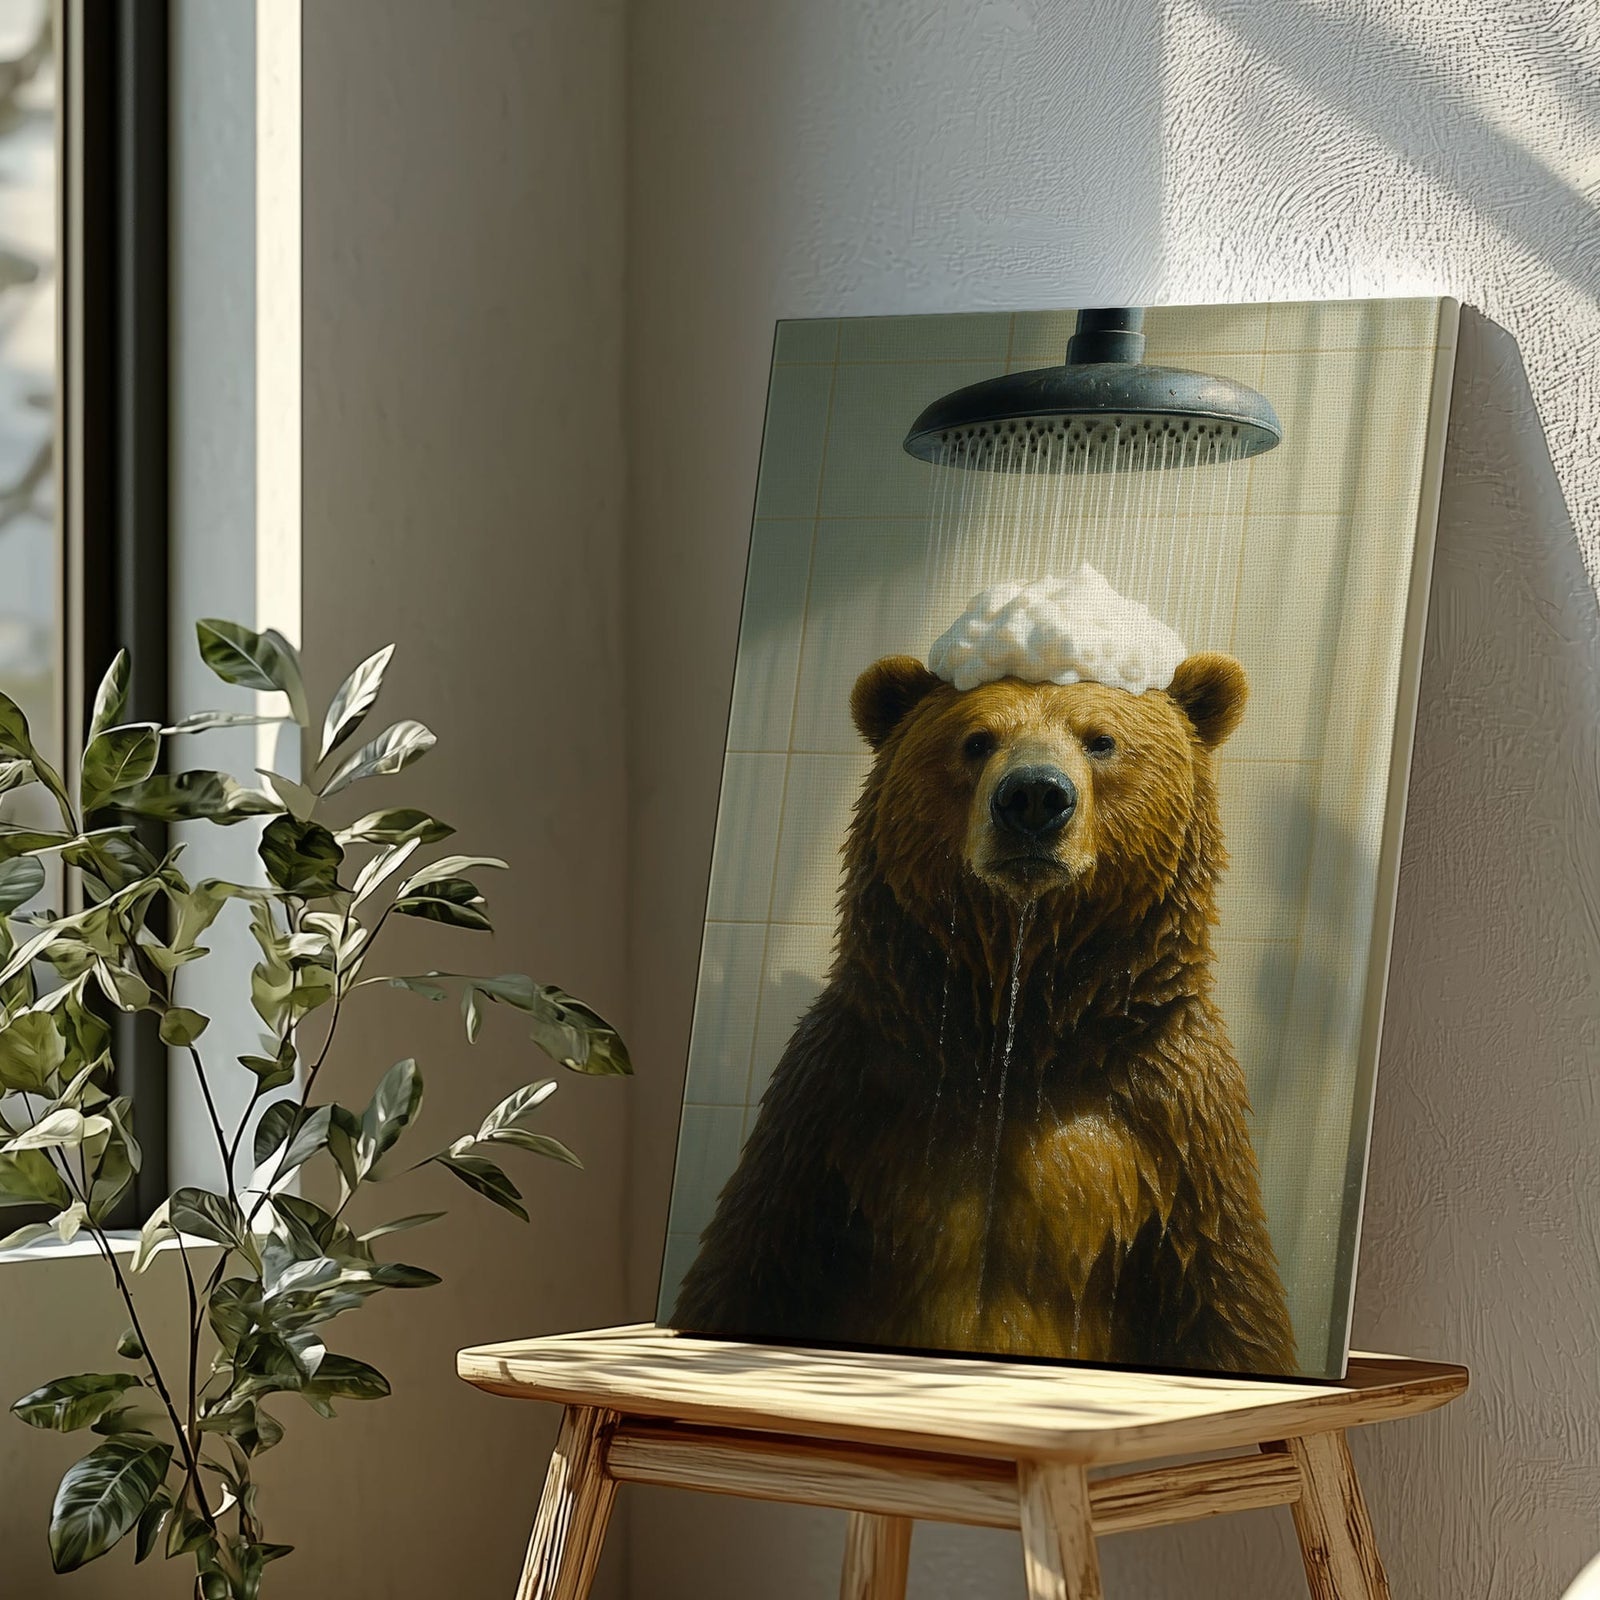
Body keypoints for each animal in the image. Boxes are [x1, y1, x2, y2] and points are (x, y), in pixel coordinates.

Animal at [671, 649, 1297, 1375]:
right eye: (975, 740)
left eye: (1101, 739)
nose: (1034, 798)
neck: (1018, 1036)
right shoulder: (833, 1108)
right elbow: (746, 1264)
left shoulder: (1179, 1128)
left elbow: (1230, 1306)